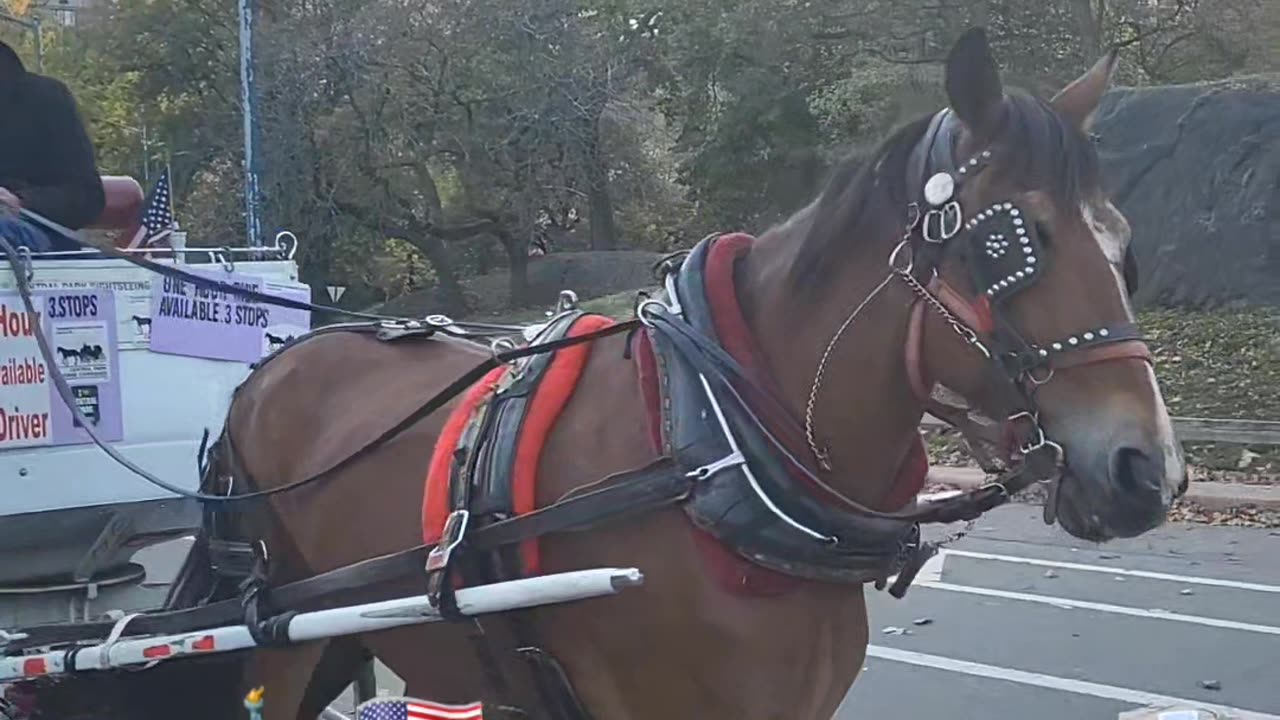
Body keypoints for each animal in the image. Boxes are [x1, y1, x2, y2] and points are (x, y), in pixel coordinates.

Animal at [202, 30, 1187, 717]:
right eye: (1010, 245)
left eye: (1122, 245)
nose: (1150, 470)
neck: (716, 448)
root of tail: (275, 364)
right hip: (278, 643)